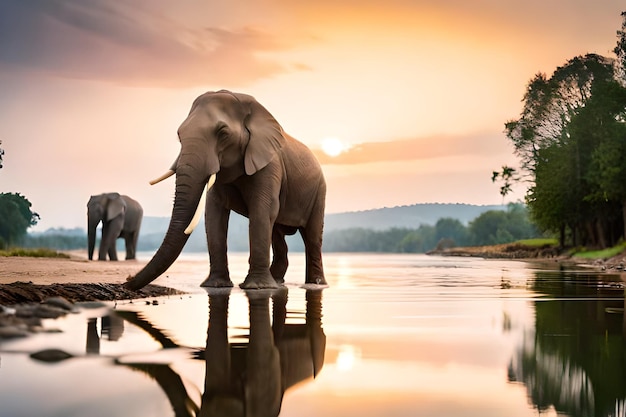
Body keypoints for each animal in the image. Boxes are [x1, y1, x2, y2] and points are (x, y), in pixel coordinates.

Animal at [123, 89, 326, 290]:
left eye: (222, 133)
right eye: (179, 135)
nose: (127, 280)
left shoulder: (269, 165)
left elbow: (262, 209)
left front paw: (255, 287)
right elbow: (214, 215)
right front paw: (216, 285)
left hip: (319, 192)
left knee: (312, 237)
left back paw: (315, 283)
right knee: (277, 233)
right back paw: (277, 282)